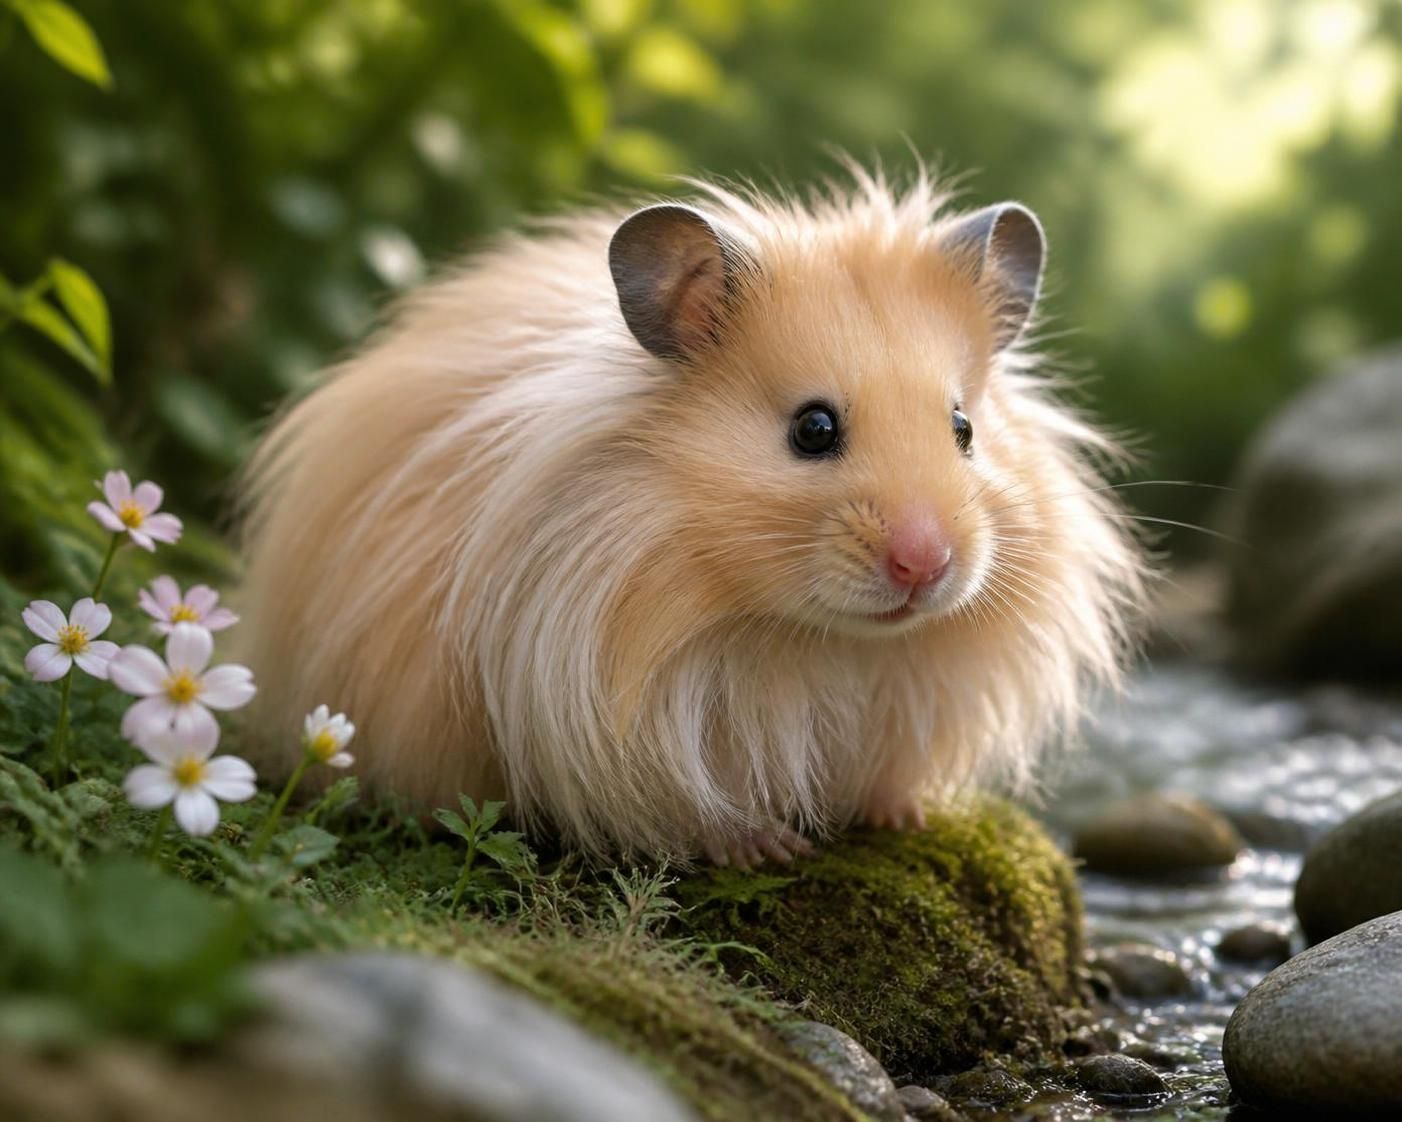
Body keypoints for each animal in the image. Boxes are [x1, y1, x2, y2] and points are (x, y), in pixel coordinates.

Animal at [236, 166, 1146, 865]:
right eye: (813, 430)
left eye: (963, 428)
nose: (926, 565)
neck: (814, 642)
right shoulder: (609, 725)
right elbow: (690, 807)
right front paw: (769, 848)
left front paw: (902, 818)